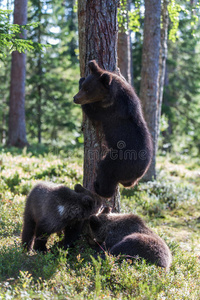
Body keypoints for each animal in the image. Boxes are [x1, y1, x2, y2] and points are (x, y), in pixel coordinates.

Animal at [73, 59, 153, 198]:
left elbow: (93, 112)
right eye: (84, 87)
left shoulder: (110, 111)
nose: (75, 98)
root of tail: (137, 176)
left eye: (88, 90)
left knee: (106, 170)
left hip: (121, 160)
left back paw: (98, 188)